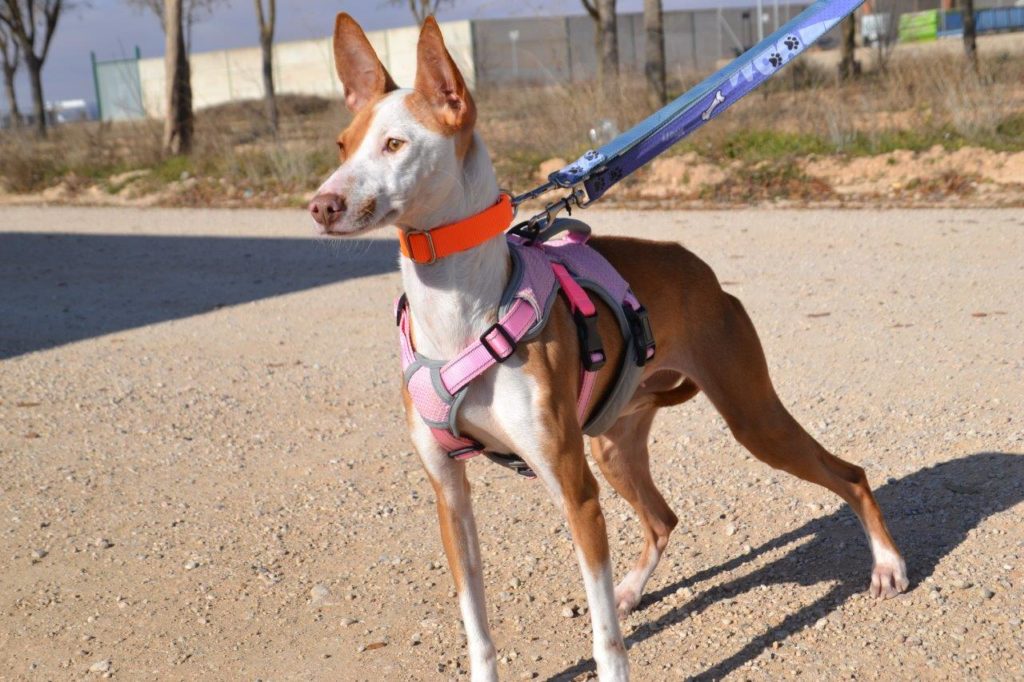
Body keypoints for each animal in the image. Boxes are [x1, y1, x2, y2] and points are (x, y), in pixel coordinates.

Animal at [307, 13, 909, 675]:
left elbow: (604, 637)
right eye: (342, 145)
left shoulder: (576, 492)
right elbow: (477, 626)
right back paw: (632, 589)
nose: (321, 205)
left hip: (752, 419)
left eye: (396, 145)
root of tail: (703, 272)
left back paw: (887, 564)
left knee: (849, 474)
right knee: (664, 519)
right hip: (614, 445)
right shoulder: (450, 496)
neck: (460, 312)